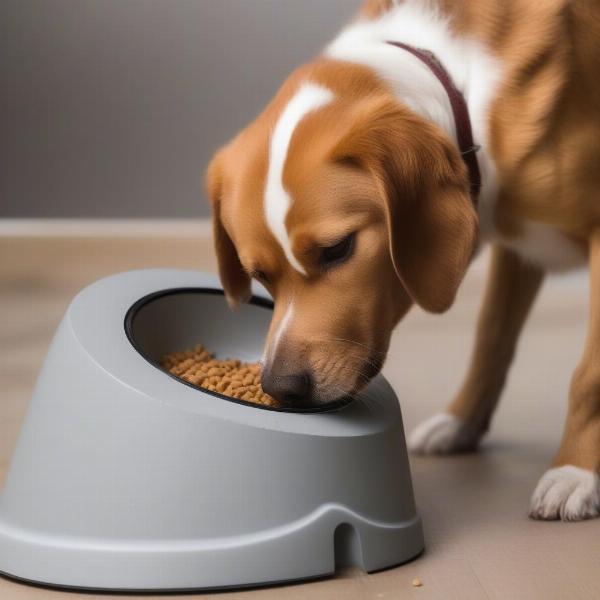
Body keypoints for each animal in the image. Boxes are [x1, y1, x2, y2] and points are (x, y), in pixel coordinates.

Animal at [206, 1, 600, 520]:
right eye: (258, 275)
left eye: (337, 249)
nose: (282, 387)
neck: (464, 86)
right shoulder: (516, 249)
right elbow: (491, 339)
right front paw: (462, 420)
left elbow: (588, 375)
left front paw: (576, 469)